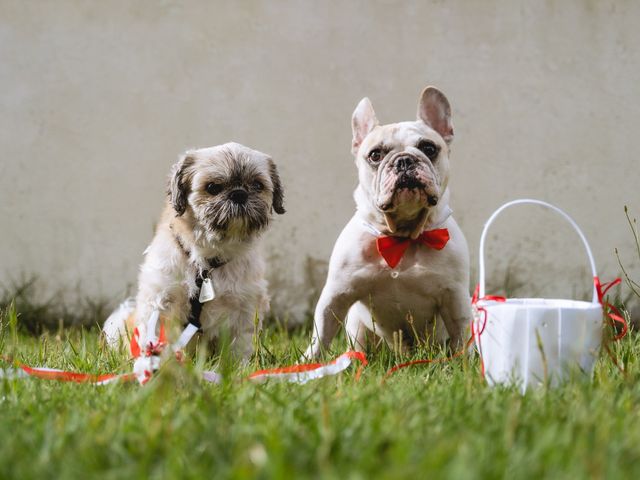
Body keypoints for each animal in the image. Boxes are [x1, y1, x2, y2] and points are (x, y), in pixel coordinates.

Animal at [104, 141, 284, 358]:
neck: (207, 262)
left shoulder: (245, 307)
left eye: (258, 185)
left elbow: (238, 346)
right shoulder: (160, 299)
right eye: (212, 187)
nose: (239, 194)